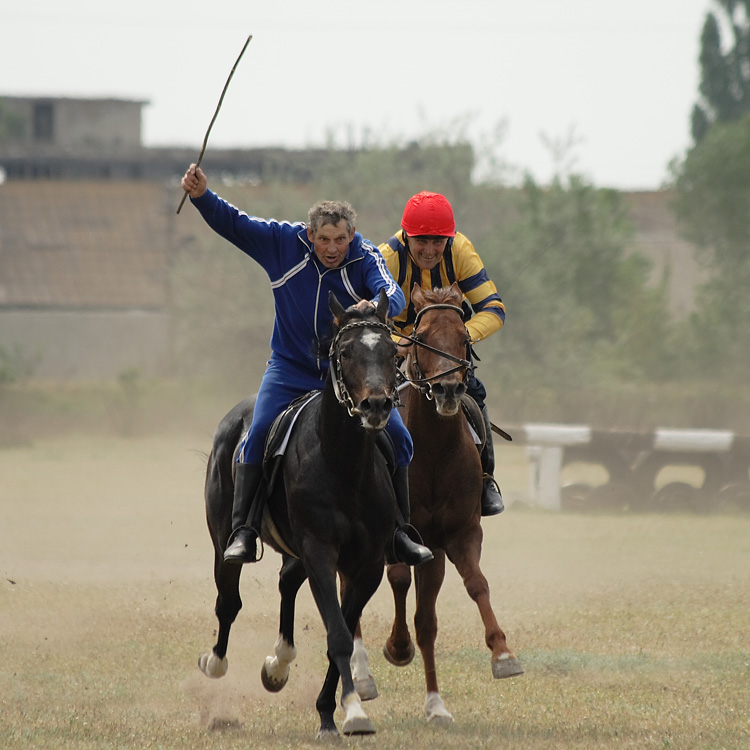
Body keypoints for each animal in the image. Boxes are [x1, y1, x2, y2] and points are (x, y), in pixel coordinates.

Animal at [197, 290, 402, 740]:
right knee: (228, 601)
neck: (343, 465)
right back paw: (216, 662)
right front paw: (353, 712)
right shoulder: (320, 552)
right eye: (345, 352)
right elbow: (339, 635)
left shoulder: (367, 566)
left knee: (286, 581)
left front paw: (334, 711)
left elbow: (340, 633)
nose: (376, 404)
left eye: (393, 351)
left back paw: (279, 663)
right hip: (222, 539)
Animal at [354, 284, 524, 724]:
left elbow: (473, 587)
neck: (430, 453)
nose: (448, 390)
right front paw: (397, 647)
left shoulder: (457, 534)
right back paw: (361, 676)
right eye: (422, 338)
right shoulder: (396, 535)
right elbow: (398, 580)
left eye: (464, 339)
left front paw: (503, 654)